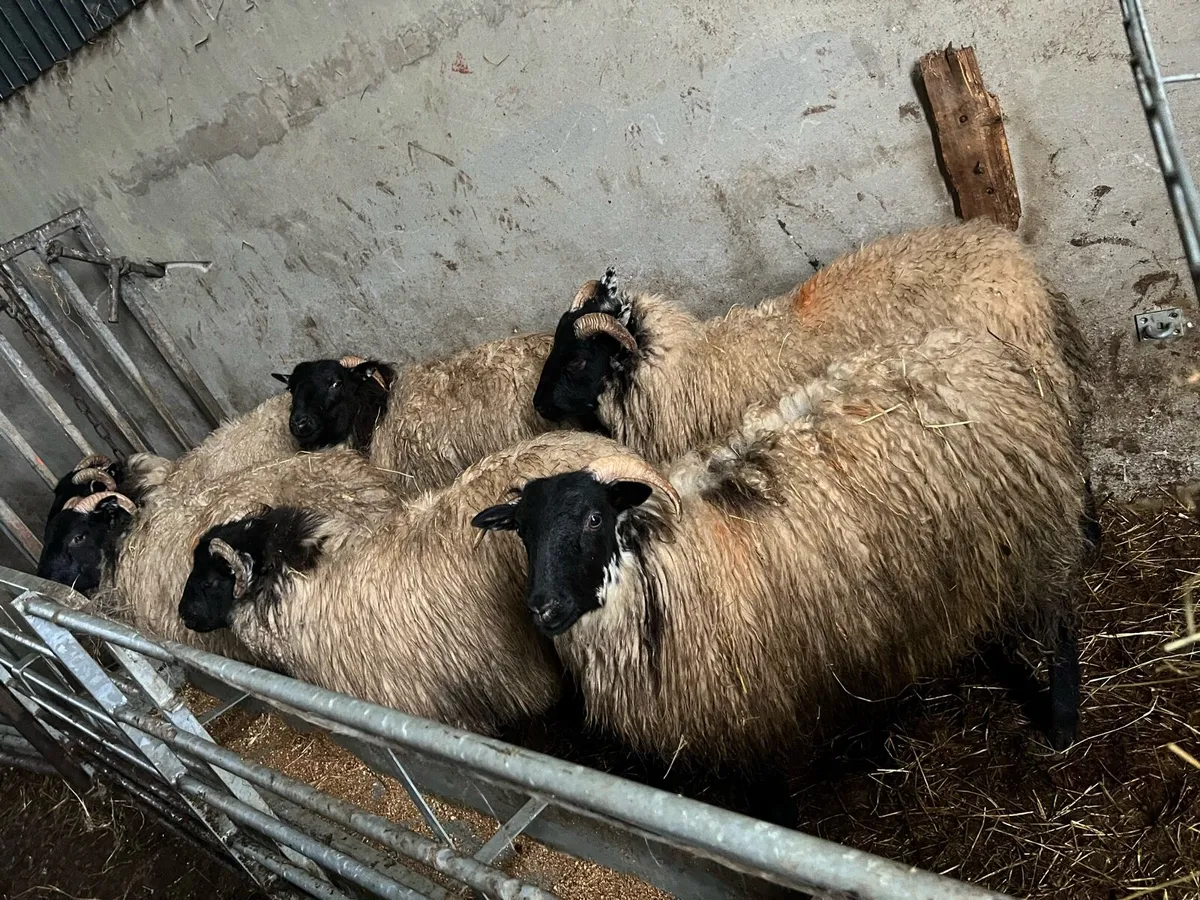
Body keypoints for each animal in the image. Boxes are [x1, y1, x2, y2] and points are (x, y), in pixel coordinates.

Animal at [473, 328, 1089, 767]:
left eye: (595, 518)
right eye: (523, 532)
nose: (543, 609)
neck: (659, 558)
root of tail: (977, 351)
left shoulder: (764, 702)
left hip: (1035, 528)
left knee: (1061, 621)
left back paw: (1062, 725)